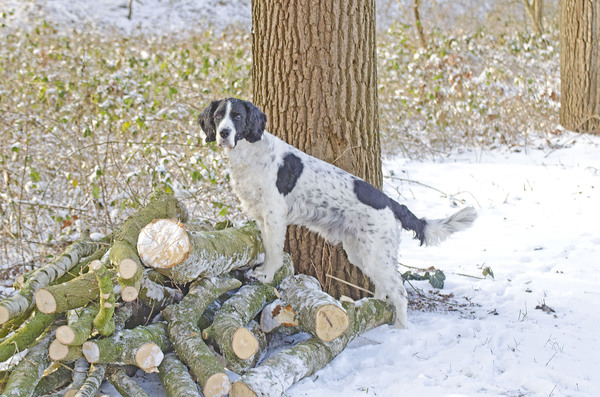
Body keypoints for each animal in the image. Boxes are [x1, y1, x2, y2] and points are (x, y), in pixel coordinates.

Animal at [199, 98, 476, 328]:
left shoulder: (274, 214)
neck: (250, 153)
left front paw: (265, 275)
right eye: (218, 116)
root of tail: (390, 202)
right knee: (383, 286)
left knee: (399, 291)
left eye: (237, 116)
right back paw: (373, 308)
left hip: (376, 253)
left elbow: (273, 250)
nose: (224, 133)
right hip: (360, 251)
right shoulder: (260, 214)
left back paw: (400, 329)